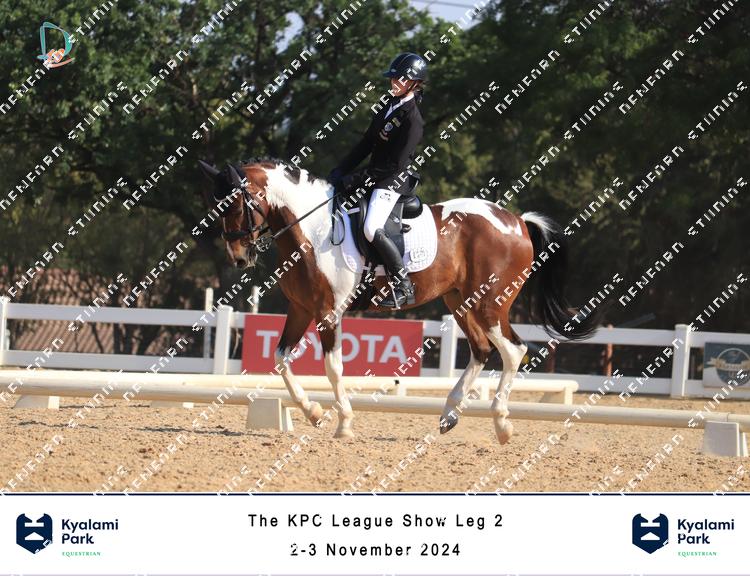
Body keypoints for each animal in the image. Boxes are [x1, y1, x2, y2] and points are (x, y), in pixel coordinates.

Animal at [198, 158, 602, 442]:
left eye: (237, 204)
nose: (238, 258)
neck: (311, 230)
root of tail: (517, 221)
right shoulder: (300, 309)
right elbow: (280, 359)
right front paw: (313, 412)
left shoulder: (329, 312)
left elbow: (333, 368)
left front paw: (344, 423)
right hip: (460, 302)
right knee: (481, 350)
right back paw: (449, 415)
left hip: (490, 303)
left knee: (513, 351)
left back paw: (502, 424)